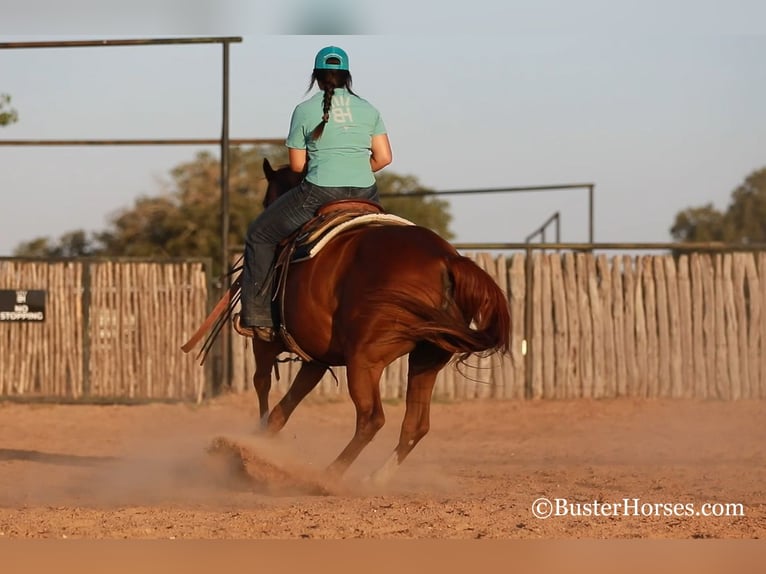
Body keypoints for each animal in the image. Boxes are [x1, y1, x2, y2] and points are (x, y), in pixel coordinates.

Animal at [186, 159, 512, 486]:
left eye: (268, 197)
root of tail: (447, 261)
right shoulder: (315, 357)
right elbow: (283, 407)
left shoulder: (266, 342)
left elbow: (262, 384)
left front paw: (250, 447)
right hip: (427, 359)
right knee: (415, 425)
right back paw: (375, 479)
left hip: (365, 360)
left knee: (371, 418)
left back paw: (328, 476)